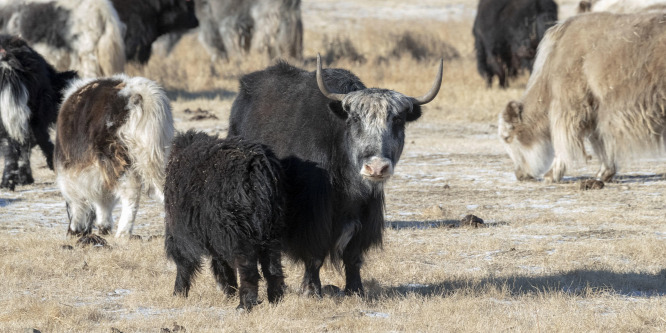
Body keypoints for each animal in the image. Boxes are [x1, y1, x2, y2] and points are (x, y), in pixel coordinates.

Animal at [165, 130, 286, 308]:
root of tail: (256, 168)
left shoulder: (181, 230)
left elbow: (185, 262)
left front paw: (178, 293)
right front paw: (230, 292)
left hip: (238, 232)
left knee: (248, 268)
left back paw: (244, 304)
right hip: (271, 229)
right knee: (273, 266)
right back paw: (275, 300)